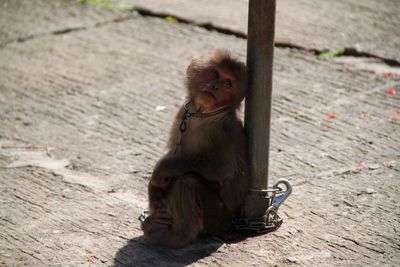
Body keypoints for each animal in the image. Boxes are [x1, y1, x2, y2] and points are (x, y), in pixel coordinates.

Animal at [141, 49, 247, 248]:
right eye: (214, 74)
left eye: (228, 83)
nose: (214, 86)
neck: (204, 113)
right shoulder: (183, 113)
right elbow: (173, 151)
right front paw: (154, 190)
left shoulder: (226, 130)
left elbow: (221, 168)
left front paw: (161, 170)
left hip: (219, 216)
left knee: (187, 181)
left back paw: (173, 237)